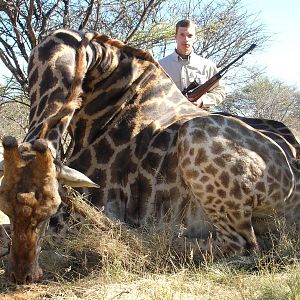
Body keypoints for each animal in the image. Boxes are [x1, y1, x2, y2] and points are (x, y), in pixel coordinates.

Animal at [0, 28, 298, 284]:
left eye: (51, 209)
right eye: (5, 207)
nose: (22, 275)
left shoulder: (79, 209)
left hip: (195, 136)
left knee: (243, 248)